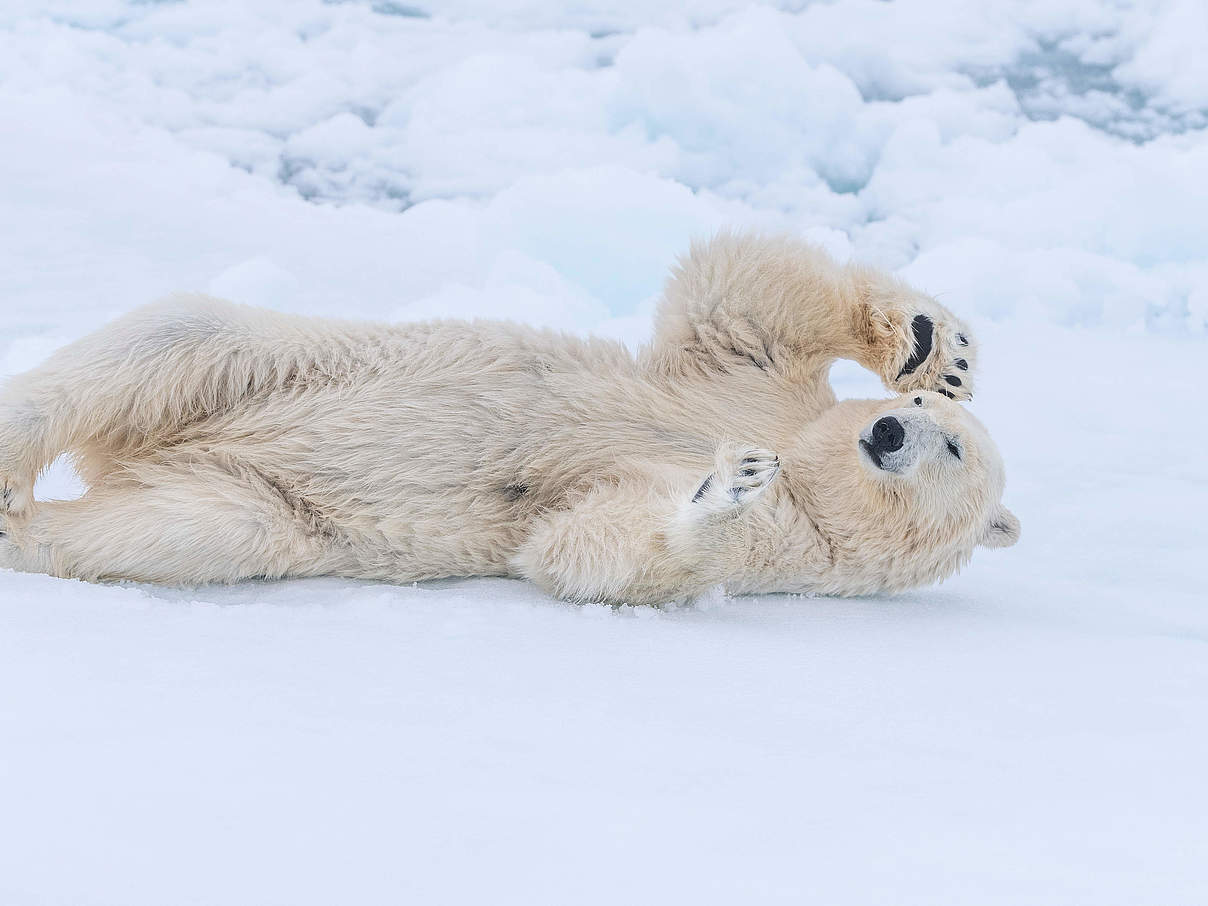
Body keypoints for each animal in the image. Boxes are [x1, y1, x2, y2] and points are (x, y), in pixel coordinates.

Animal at [0, 231, 1019, 604]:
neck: (811, 468)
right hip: (265, 368)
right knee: (169, 341)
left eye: (954, 452)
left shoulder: (800, 549)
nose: (889, 433)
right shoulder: (746, 391)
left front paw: (725, 488)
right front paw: (936, 343)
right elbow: (742, 298)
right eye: (923, 413)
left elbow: (589, 545)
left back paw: (22, 527)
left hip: (265, 503)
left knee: (178, 528)